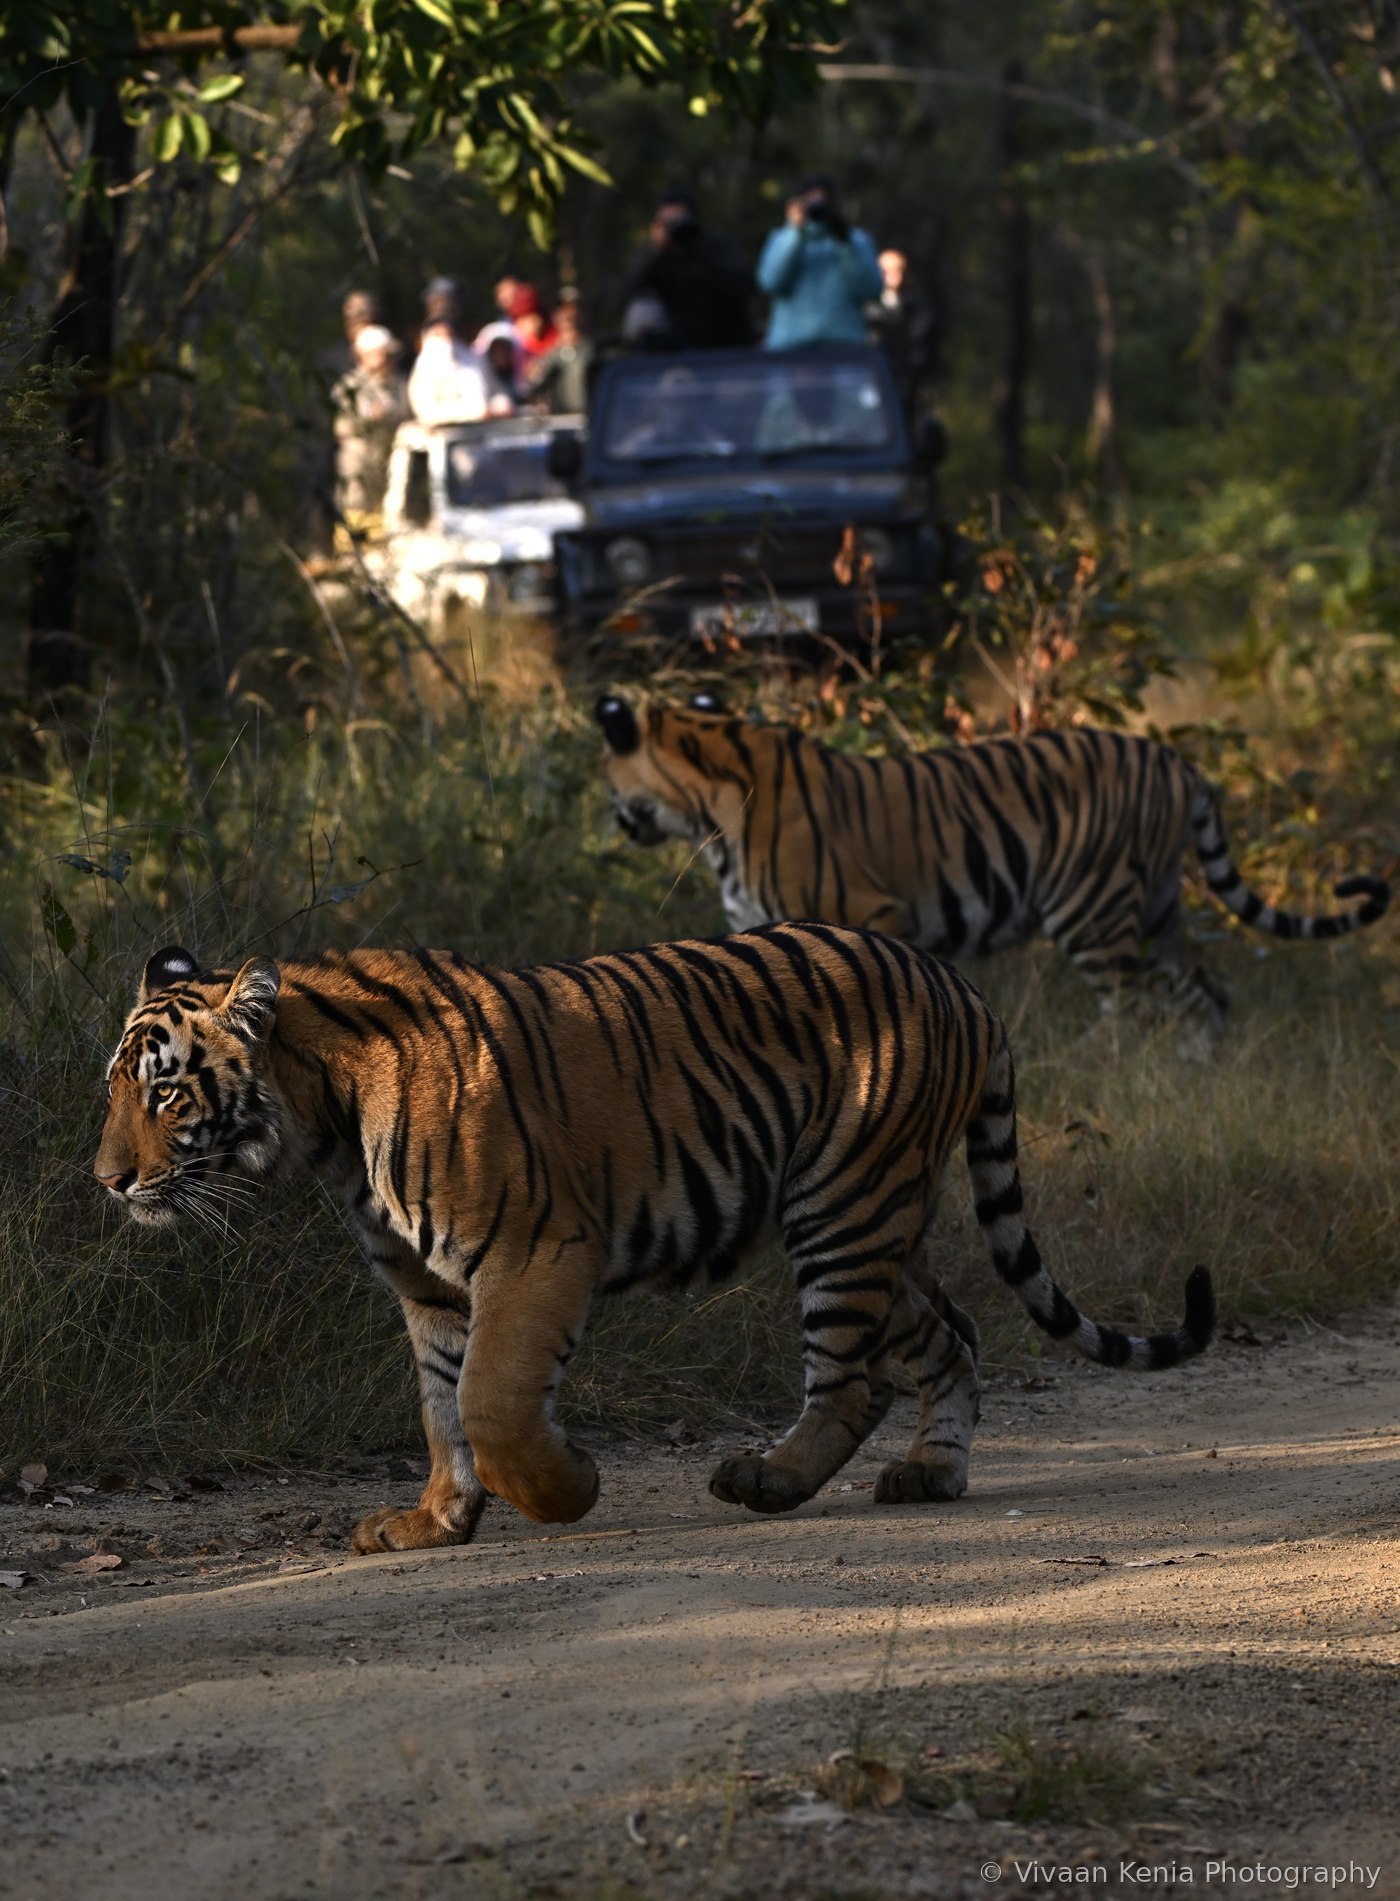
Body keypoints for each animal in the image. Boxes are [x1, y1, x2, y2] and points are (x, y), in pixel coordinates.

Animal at [94, 927, 1213, 1553]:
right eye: (114, 1086)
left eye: (165, 1090)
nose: (108, 1179)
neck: (324, 1122)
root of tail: (957, 981)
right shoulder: (429, 1288)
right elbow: (441, 1411)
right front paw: (434, 1521)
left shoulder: (535, 1251)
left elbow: (492, 1404)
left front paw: (569, 1488)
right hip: (881, 1224)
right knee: (953, 1336)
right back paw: (930, 1472)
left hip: (842, 1205)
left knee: (852, 1376)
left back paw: (766, 1479)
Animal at [596, 693, 1391, 1030]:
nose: (615, 816)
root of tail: (1177, 761)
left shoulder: (870, 911)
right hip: (1160, 905)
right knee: (1206, 990)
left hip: (1092, 908)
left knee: (1132, 1007)